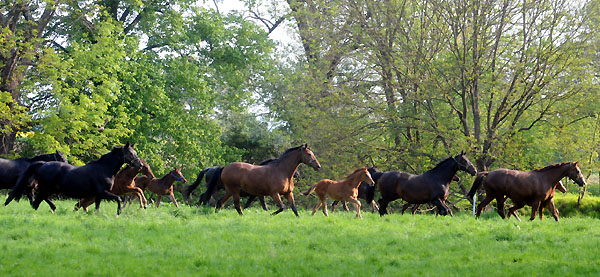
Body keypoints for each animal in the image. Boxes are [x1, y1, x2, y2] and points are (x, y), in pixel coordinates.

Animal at [4, 141, 141, 215]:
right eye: (130, 153)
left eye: (135, 153)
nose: (139, 165)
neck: (104, 169)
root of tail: (43, 164)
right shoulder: (103, 192)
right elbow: (118, 198)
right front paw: (118, 213)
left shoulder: (99, 195)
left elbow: (97, 208)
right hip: (46, 189)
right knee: (36, 202)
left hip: (51, 190)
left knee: (38, 201)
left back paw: (52, 209)